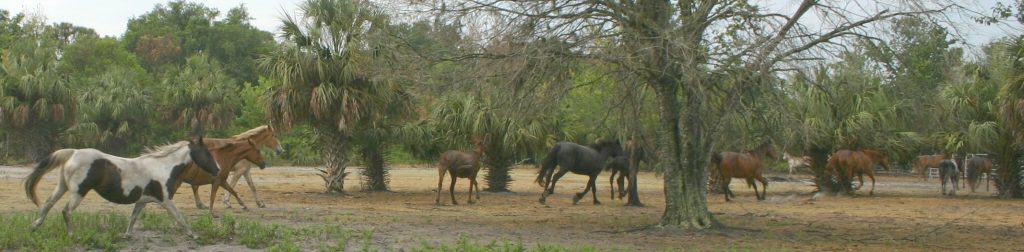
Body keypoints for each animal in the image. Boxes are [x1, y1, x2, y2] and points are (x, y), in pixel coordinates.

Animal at [24, 137, 220, 237]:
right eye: (207, 152)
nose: (218, 169)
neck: (163, 167)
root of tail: (73, 152)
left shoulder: (142, 201)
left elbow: (133, 218)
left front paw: (127, 235)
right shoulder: (166, 200)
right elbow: (180, 218)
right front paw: (193, 235)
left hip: (62, 186)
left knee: (48, 204)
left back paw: (34, 227)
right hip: (79, 192)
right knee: (66, 211)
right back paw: (73, 235)